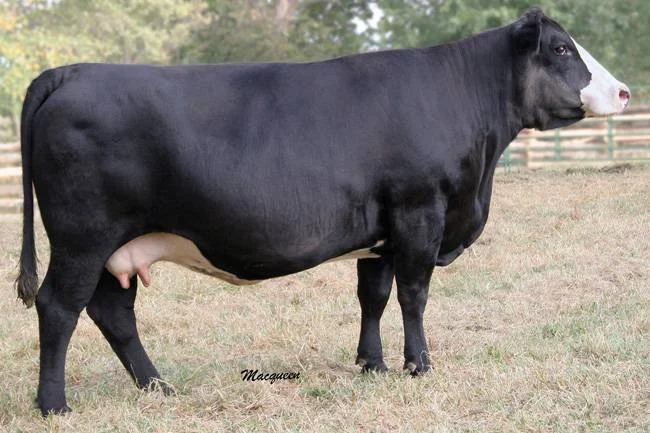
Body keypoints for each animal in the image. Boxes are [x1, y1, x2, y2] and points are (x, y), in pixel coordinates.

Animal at [16, 8, 629, 416]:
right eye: (561, 49)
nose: (624, 91)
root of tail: (73, 71)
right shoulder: (419, 213)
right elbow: (414, 295)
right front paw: (418, 366)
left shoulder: (381, 233)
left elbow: (373, 296)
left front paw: (372, 365)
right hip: (82, 236)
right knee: (59, 307)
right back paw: (54, 405)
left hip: (113, 245)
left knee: (112, 312)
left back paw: (158, 388)